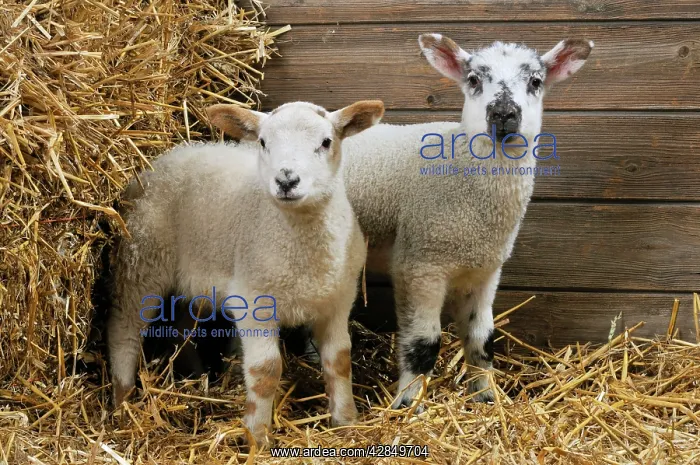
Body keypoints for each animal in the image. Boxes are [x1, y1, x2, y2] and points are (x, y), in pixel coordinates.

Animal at [106, 99, 385, 442]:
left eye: (326, 142)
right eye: (263, 142)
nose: (286, 181)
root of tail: (164, 158)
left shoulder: (337, 301)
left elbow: (340, 360)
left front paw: (347, 420)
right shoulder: (255, 302)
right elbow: (266, 370)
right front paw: (257, 435)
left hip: (191, 280)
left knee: (182, 330)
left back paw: (197, 378)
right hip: (142, 261)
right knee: (124, 330)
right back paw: (122, 403)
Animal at [341, 34, 593, 408]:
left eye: (536, 81)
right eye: (473, 80)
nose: (503, 114)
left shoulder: (485, 270)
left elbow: (481, 338)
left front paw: (487, 396)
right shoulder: (420, 263)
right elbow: (424, 343)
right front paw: (408, 404)